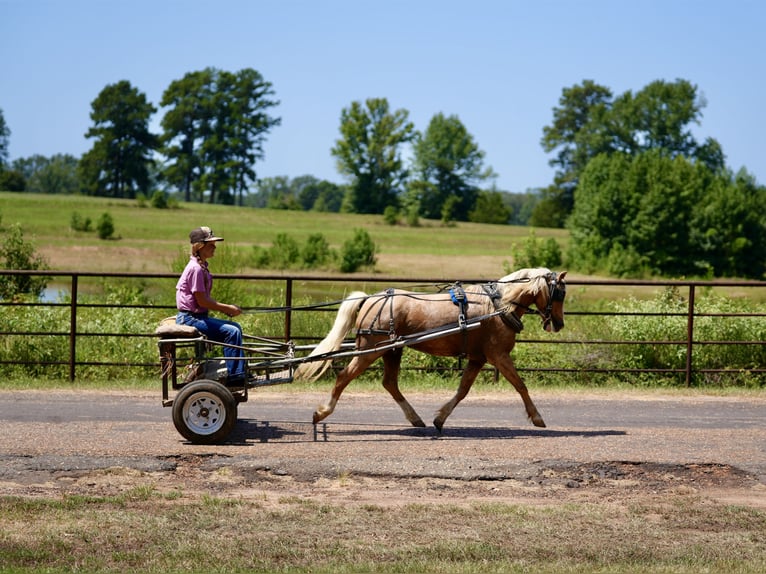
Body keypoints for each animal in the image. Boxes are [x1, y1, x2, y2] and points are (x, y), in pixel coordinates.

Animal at [294, 267, 567, 431]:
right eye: (559, 294)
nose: (558, 324)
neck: (498, 305)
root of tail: (371, 299)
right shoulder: (498, 356)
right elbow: (521, 385)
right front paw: (537, 417)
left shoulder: (478, 358)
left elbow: (463, 390)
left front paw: (440, 418)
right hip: (371, 349)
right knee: (344, 377)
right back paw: (322, 412)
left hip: (392, 349)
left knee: (390, 383)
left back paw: (416, 418)